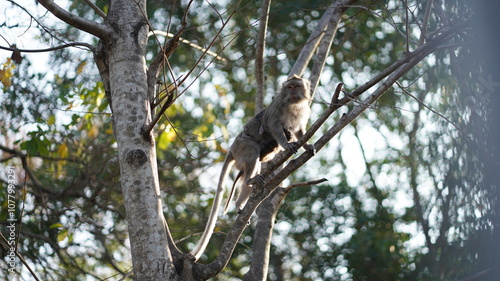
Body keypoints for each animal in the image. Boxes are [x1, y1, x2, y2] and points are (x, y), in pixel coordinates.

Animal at [189, 75, 314, 260]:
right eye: (289, 87)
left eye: (296, 86)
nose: (292, 92)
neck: (293, 105)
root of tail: (232, 148)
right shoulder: (277, 108)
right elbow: (273, 125)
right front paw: (286, 144)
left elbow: (299, 131)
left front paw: (306, 145)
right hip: (242, 146)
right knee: (253, 150)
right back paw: (250, 180)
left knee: (254, 173)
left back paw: (241, 202)